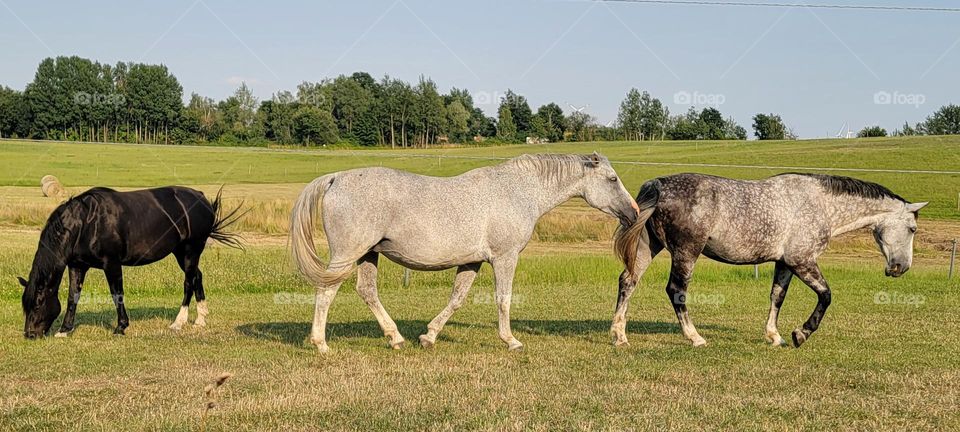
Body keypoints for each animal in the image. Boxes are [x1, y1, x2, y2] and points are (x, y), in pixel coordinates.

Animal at [18, 186, 243, 338]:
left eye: (37, 303)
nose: (30, 334)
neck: (86, 223)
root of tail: (201, 196)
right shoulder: (77, 265)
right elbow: (73, 297)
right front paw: (65, 330)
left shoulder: (111, 264)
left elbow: (116, 293)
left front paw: (121, 327)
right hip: (181, 253)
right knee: (197, 276)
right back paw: (200, 319)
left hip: (191, 250)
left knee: (188, 282)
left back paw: (178, 323)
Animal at [290, 152, 640, 353]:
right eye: (612, 179)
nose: (634, 213)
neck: (516, 191)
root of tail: (336, 178)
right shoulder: (505, 258)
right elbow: (503, 299)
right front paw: (511, 341)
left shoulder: (472, 262)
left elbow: (456, 299)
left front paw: (429, 337)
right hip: (347, 254)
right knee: (326, 292)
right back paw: (321, 344)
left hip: (367, 255)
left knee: (367, 291)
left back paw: (396, 338)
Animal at [612, 173, 927, 348]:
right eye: (912, 229)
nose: (900, 268)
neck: (820, 204)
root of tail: (659, 185)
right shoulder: (803, 261)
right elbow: (826, 296)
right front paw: (801, 334)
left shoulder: (784, 263)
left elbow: (777, 297)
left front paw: (775, 336)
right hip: (686, 252)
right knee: (676, 291)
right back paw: (695, 337)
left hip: (648, 246)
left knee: (628, 282)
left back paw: (619, 336)